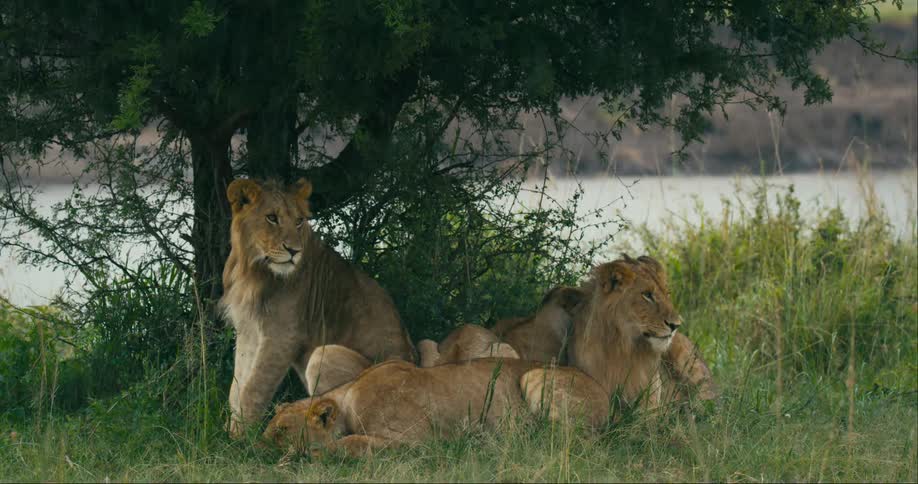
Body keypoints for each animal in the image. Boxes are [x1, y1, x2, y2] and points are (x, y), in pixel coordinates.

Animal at [219, 178, 415, 437]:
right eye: (271, 217)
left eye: (299, 221)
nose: (294, 251)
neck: (252, 269)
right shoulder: (249, 331)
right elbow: (236, 387)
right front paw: (228, 431)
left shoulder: (282, 336)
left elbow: (254, 389)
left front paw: (239, 439)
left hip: (327, 356)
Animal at [266, 255, 703, 456]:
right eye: (270, 428)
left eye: (282, 431)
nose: (257, 446)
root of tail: (605, 395)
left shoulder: (416, 441)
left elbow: (349, 443)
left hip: (533, 378)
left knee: (565, 440)